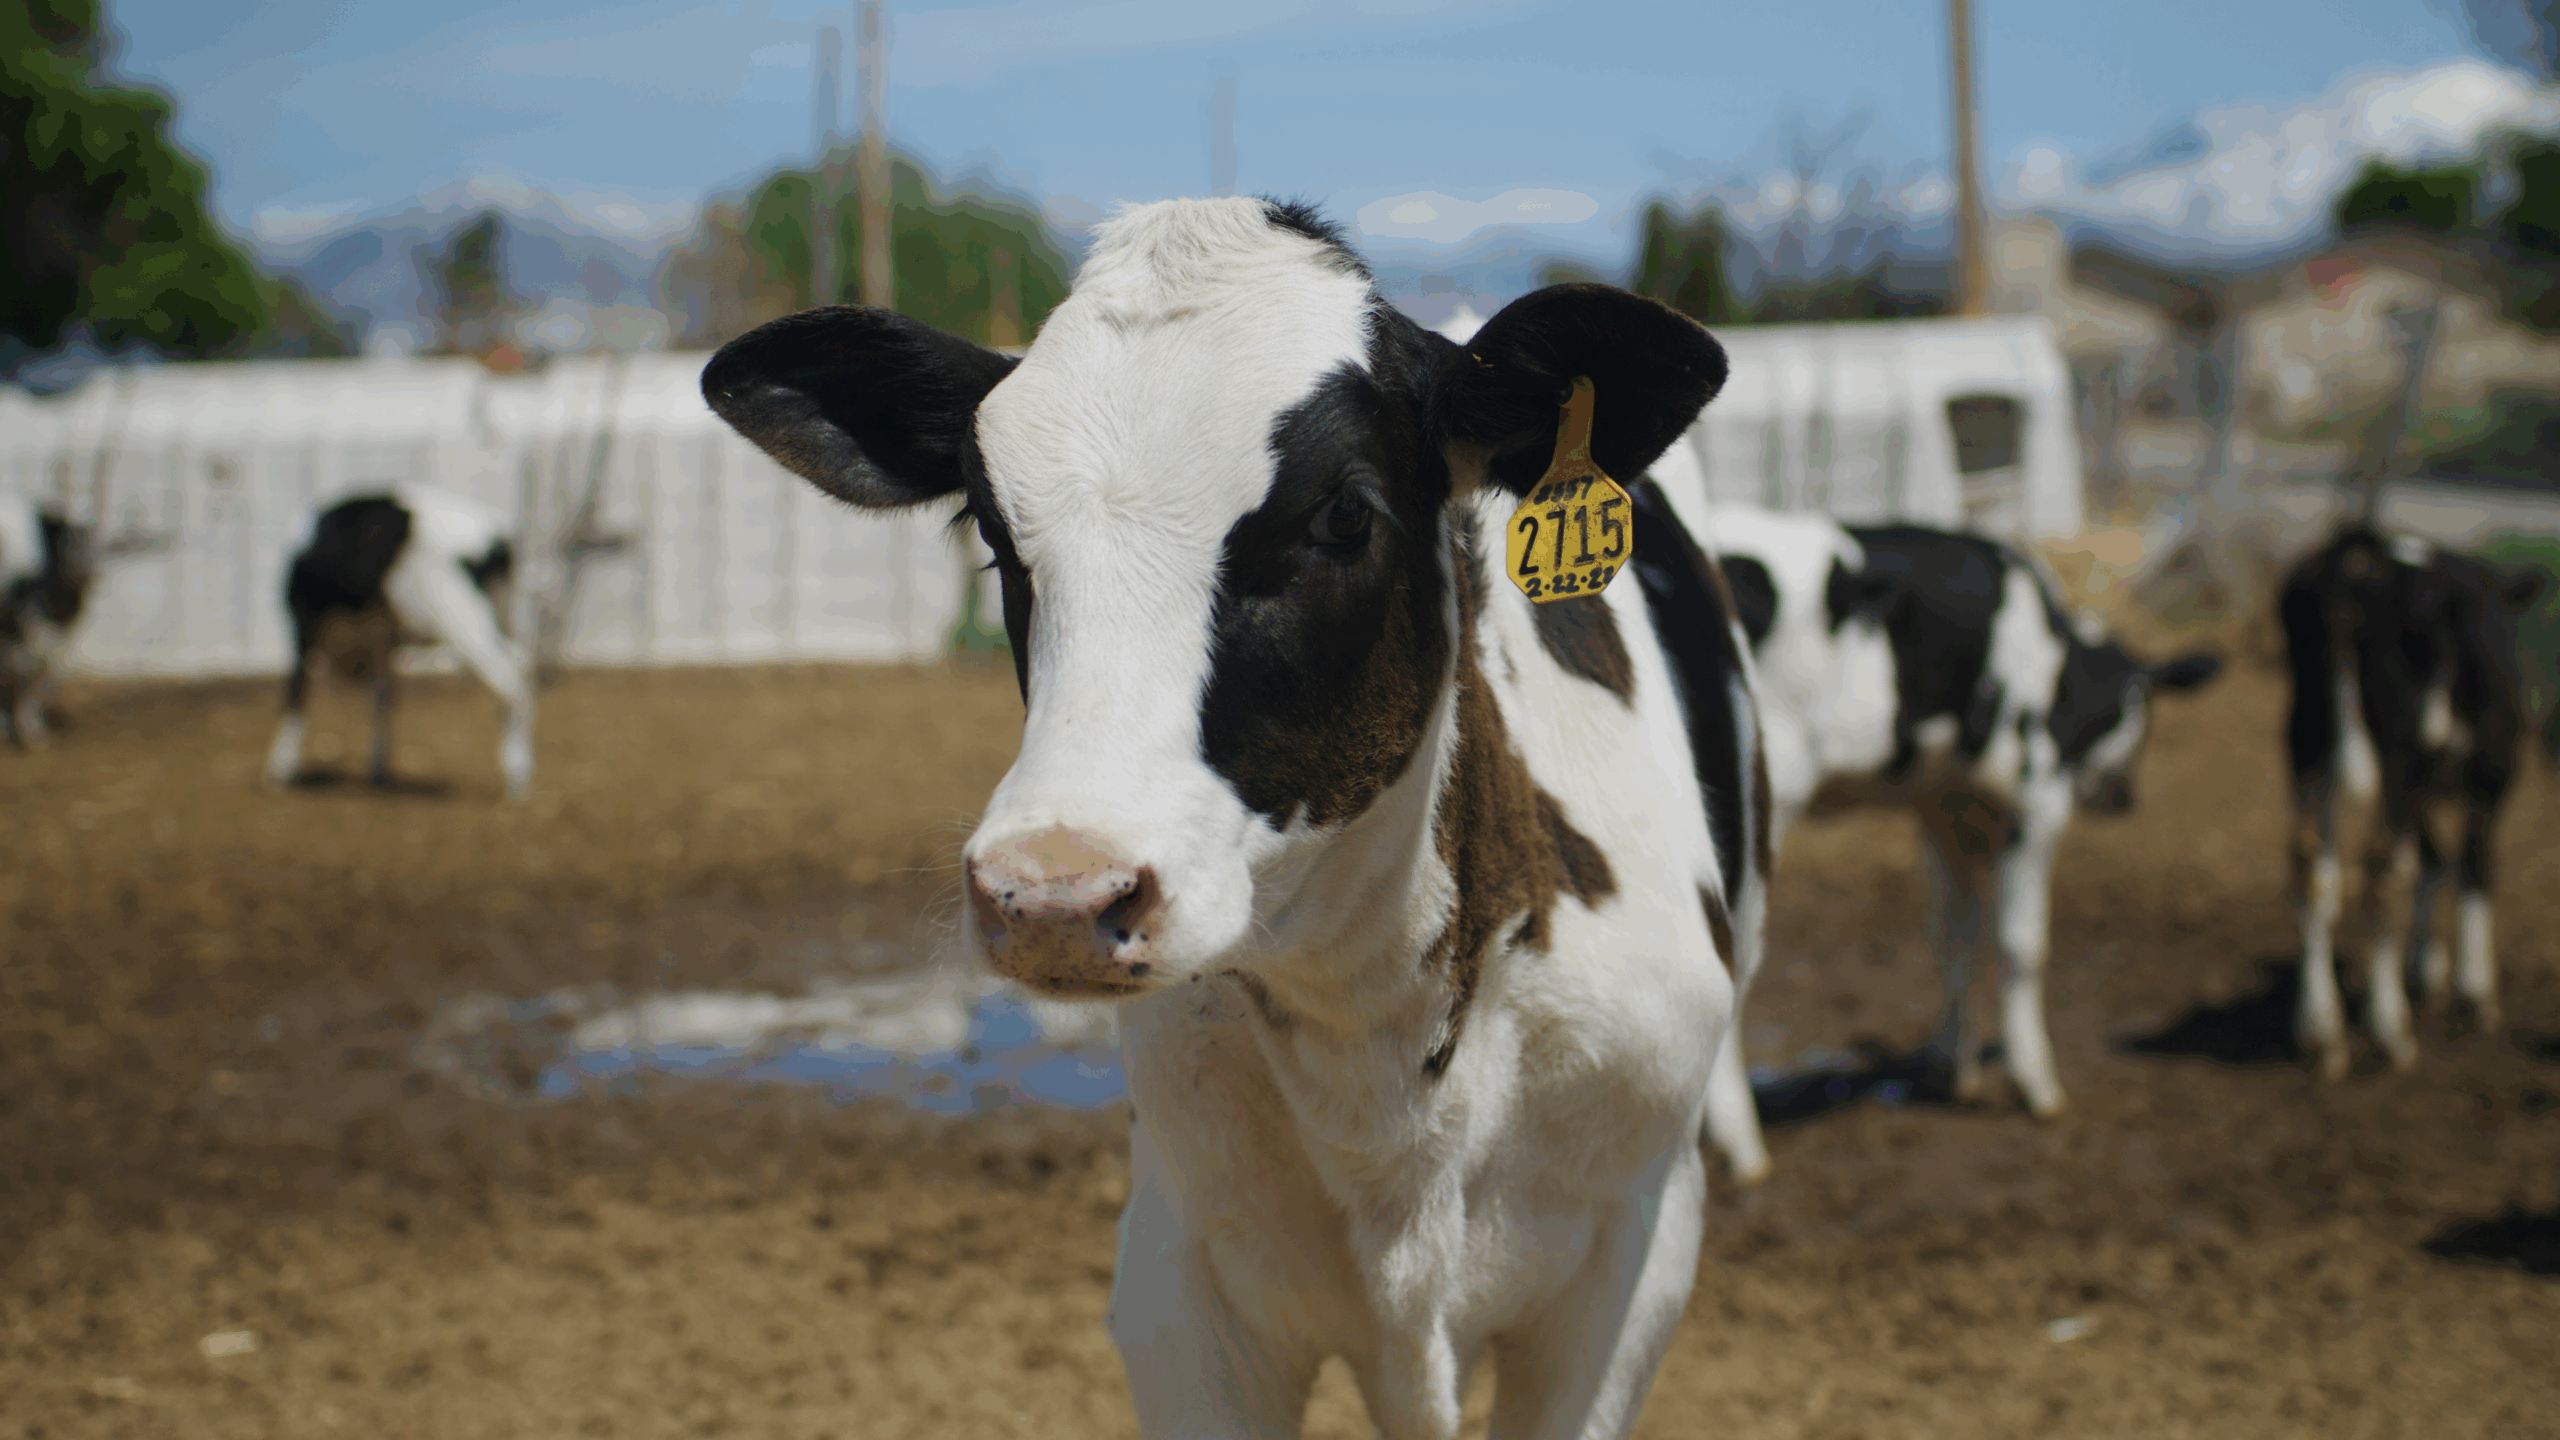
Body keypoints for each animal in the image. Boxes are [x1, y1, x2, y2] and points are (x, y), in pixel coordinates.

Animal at [0, 496, 97, 749]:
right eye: (66, 545)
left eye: (95, 546)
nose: (88, 570)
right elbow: (24, 694)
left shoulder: (52, 657)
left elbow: (34, 695)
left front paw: (36, 740)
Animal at [263, 484, 535, 799]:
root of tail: (496, 540)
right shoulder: (382, 639)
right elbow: (383, 697)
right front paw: (378, 771)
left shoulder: (303, 621)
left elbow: (295, 690)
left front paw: (280, 768)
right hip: (498, 610)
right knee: (521, 661)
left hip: (460, 616)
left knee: (511, 675)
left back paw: (518, 775)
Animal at [701, 197, 1765, 1440]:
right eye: (996, 536)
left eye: (1345, 515)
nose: (1052, 895)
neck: (1380, 1061)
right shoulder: (1177, 1276)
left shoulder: (1627, 1266)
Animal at [1691, 502, 2221, 1183]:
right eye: (2137, 708)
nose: (2123, 795)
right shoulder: (2038, 799)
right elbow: (2022, 945)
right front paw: (2035, 1083)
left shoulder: (1942, 808)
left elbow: (1953, 934)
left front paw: (1954, 1067)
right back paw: (1742, 1146)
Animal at [2281, 525, 2546, 1079]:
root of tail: (2355, 554)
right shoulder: (2491, 771)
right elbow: (2473, 864)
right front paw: (2472, 990)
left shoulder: (2428, 779)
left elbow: (2432, 860)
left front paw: (2427, 969)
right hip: (2399, 751)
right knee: (2383, 870)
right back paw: (2389, 1030)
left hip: (2308, 737)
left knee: (2310, 865)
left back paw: (2319, 1030)